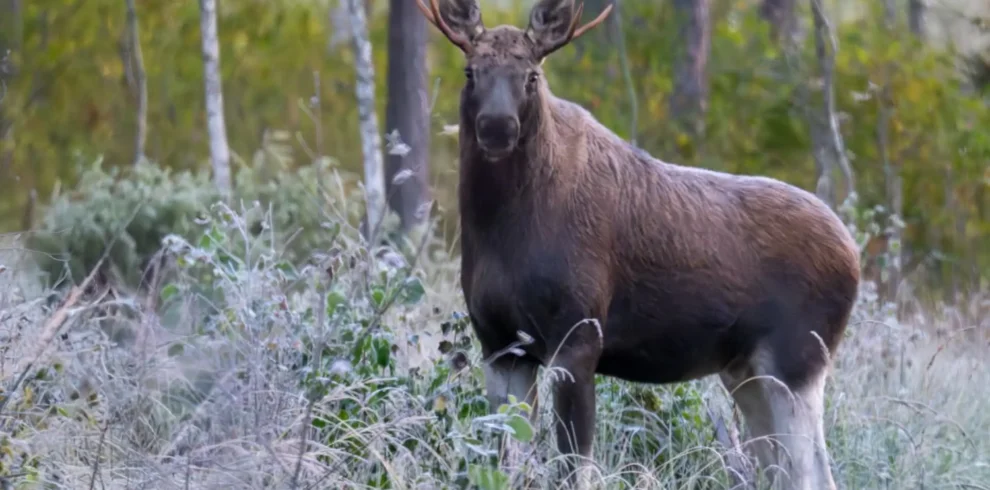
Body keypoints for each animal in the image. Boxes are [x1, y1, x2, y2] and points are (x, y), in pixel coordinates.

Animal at [415, 1, 860, 489]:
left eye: (531, 75)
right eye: (470, 71)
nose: (497, 127)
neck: (502, 230)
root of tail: (853, 253)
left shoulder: (578, 334)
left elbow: (574, 467)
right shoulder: (500, 345)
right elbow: (507, 461)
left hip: (797, 359)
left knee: (814, 472)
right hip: (745, 370)